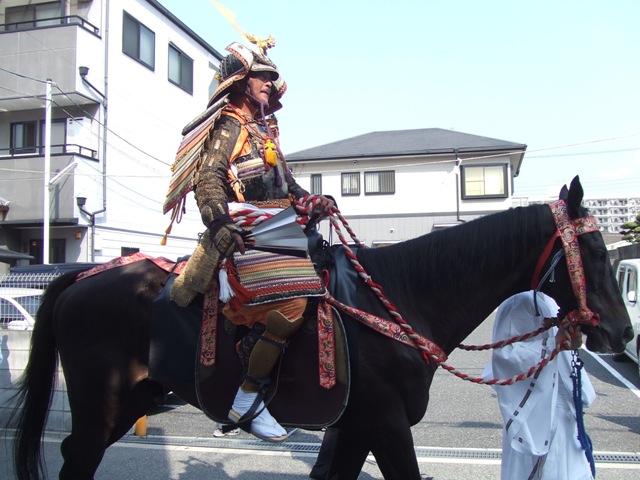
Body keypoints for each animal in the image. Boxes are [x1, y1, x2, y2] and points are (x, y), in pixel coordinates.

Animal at [7, 177, 632, 480]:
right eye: (595, 250)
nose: (622, 333)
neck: (400, 299)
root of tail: (84, 276)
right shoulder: (385, 423)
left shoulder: (355, 428)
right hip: (103, 400)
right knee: (79, 457)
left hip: (132, 398)